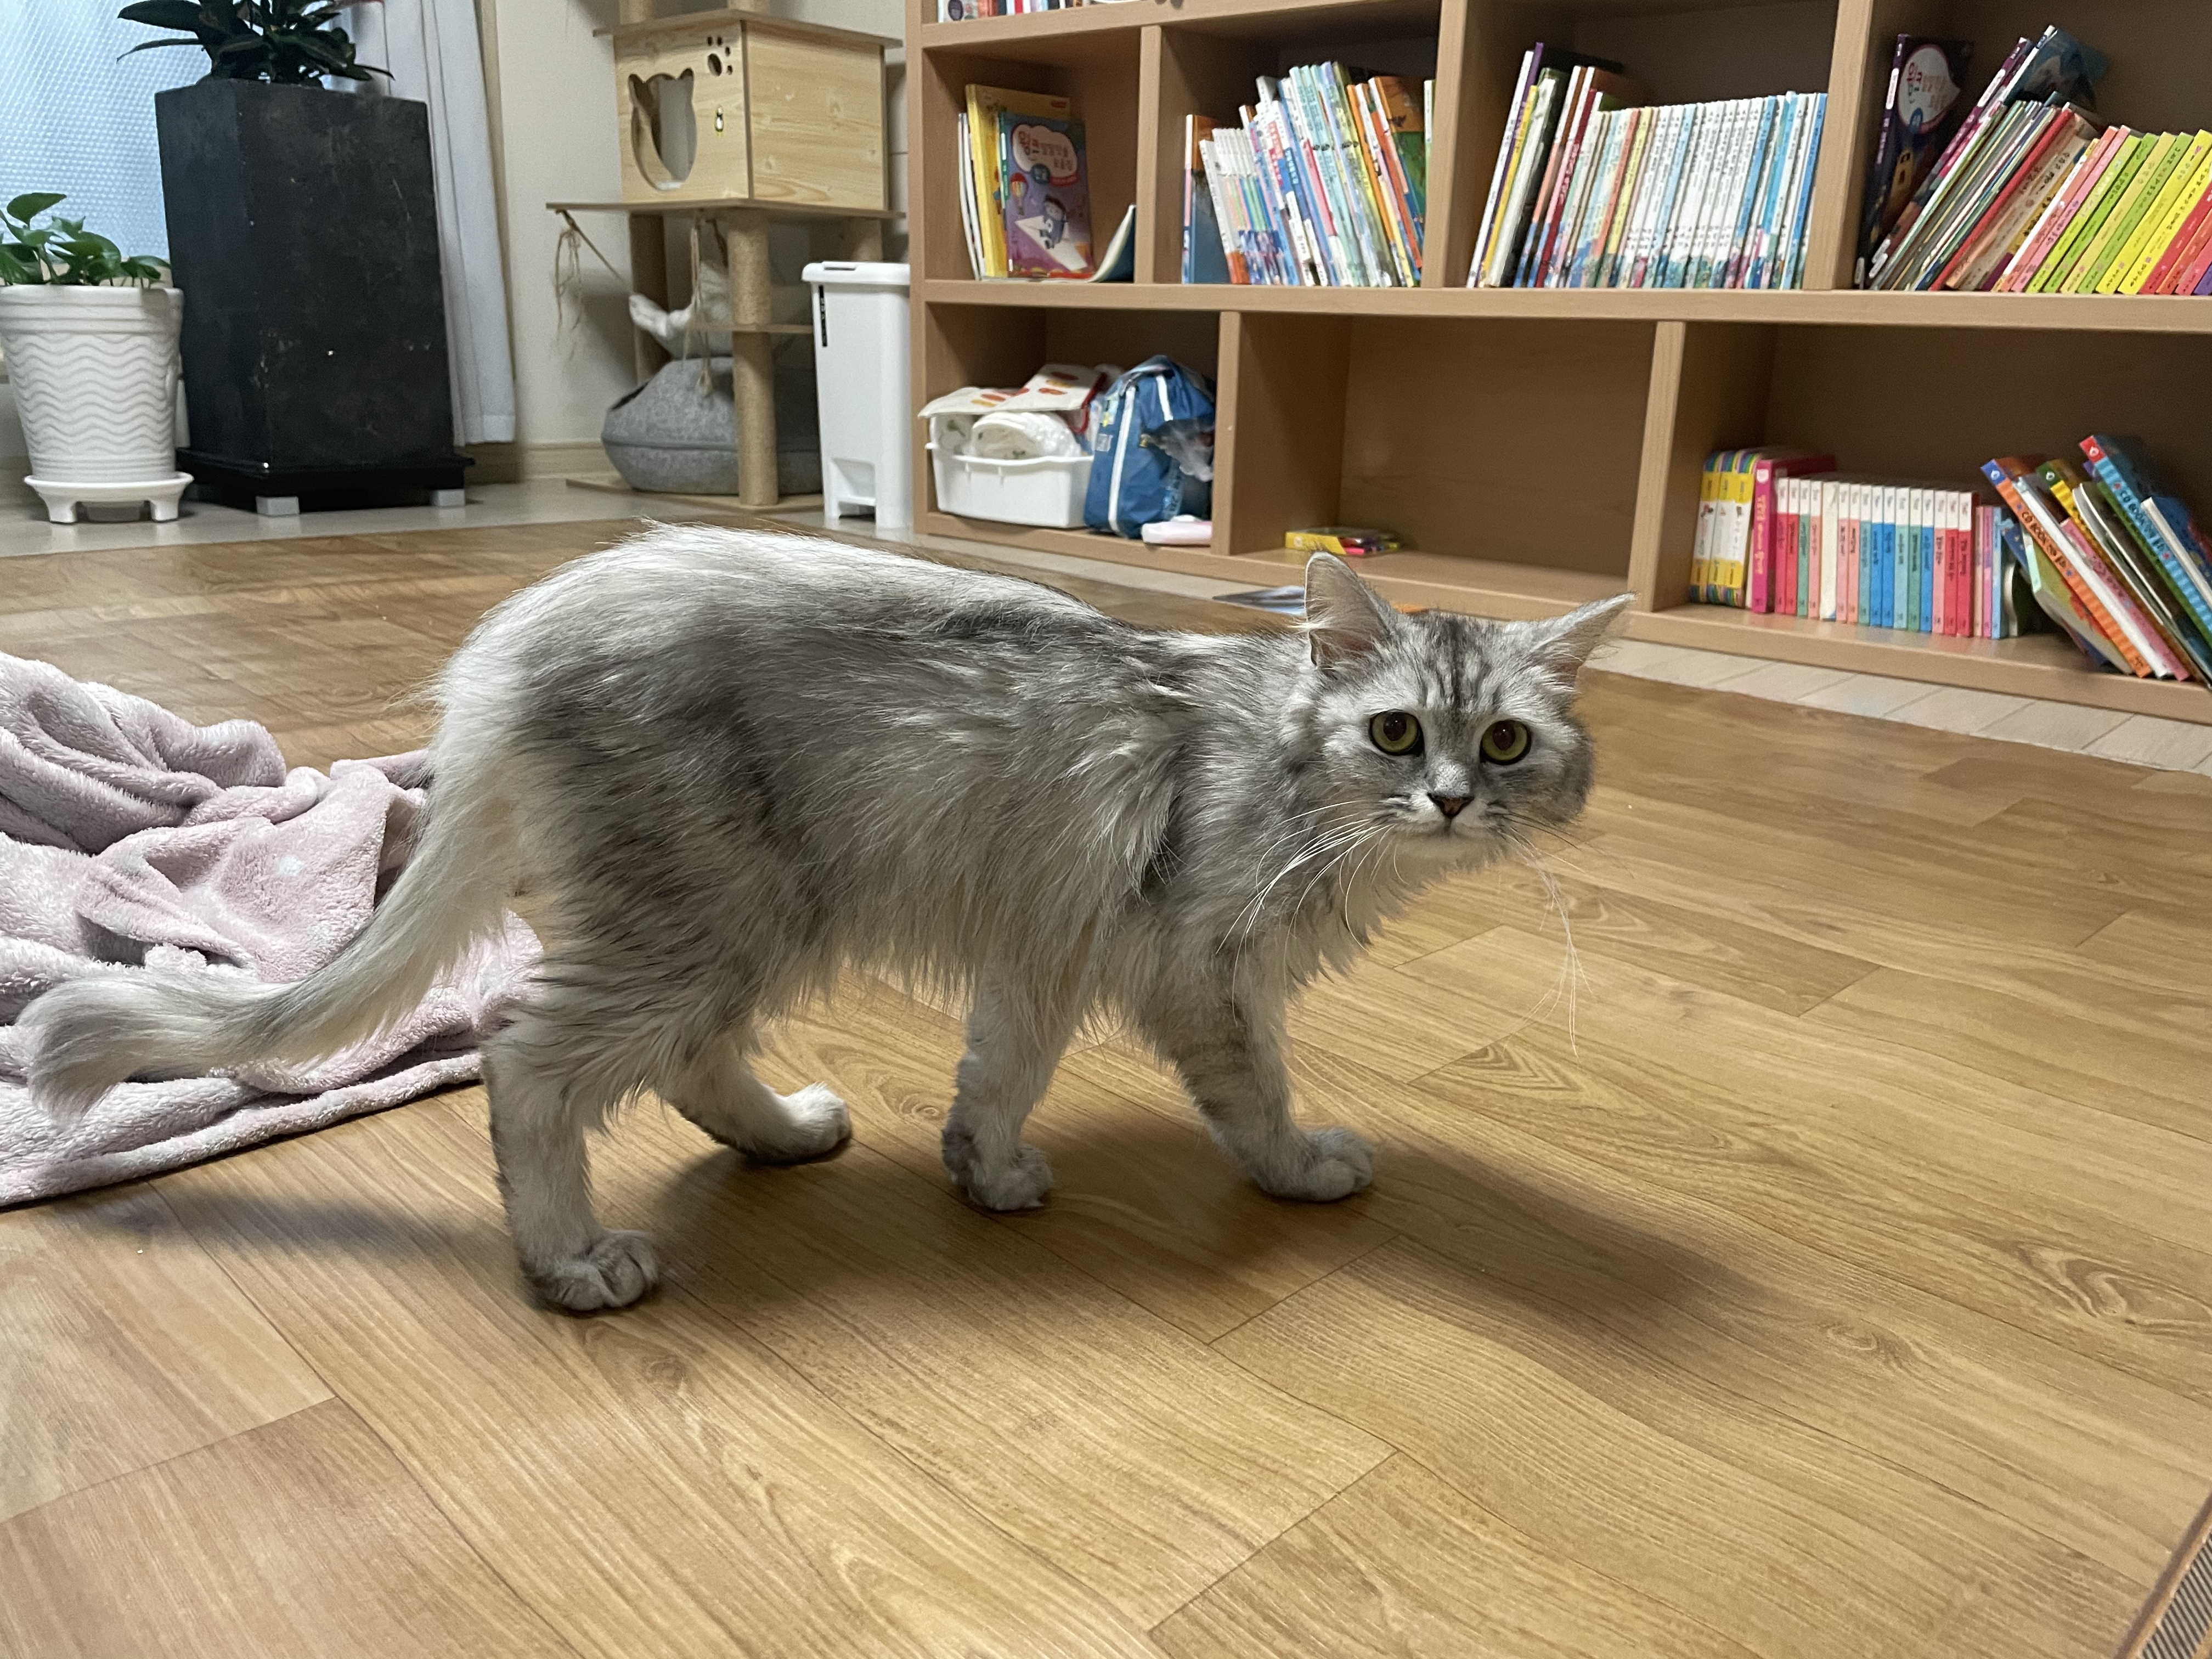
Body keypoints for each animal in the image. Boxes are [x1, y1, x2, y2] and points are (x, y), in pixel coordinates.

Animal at [26, 526, 1628, 1311]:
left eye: (1504, 745)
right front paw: (1302, 1169)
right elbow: (1259, 1105)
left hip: (747, 918)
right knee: (520, 1053)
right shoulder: (1201, 972)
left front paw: (985, 1174)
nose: (1450, 805)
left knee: (684, 1063)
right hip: (712, 914)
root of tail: (510, 644)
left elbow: (997, 1082)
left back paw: (786, 1137)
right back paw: (572, 1263)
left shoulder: (1046, 949)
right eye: (1398, 732)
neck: (1286, 762)